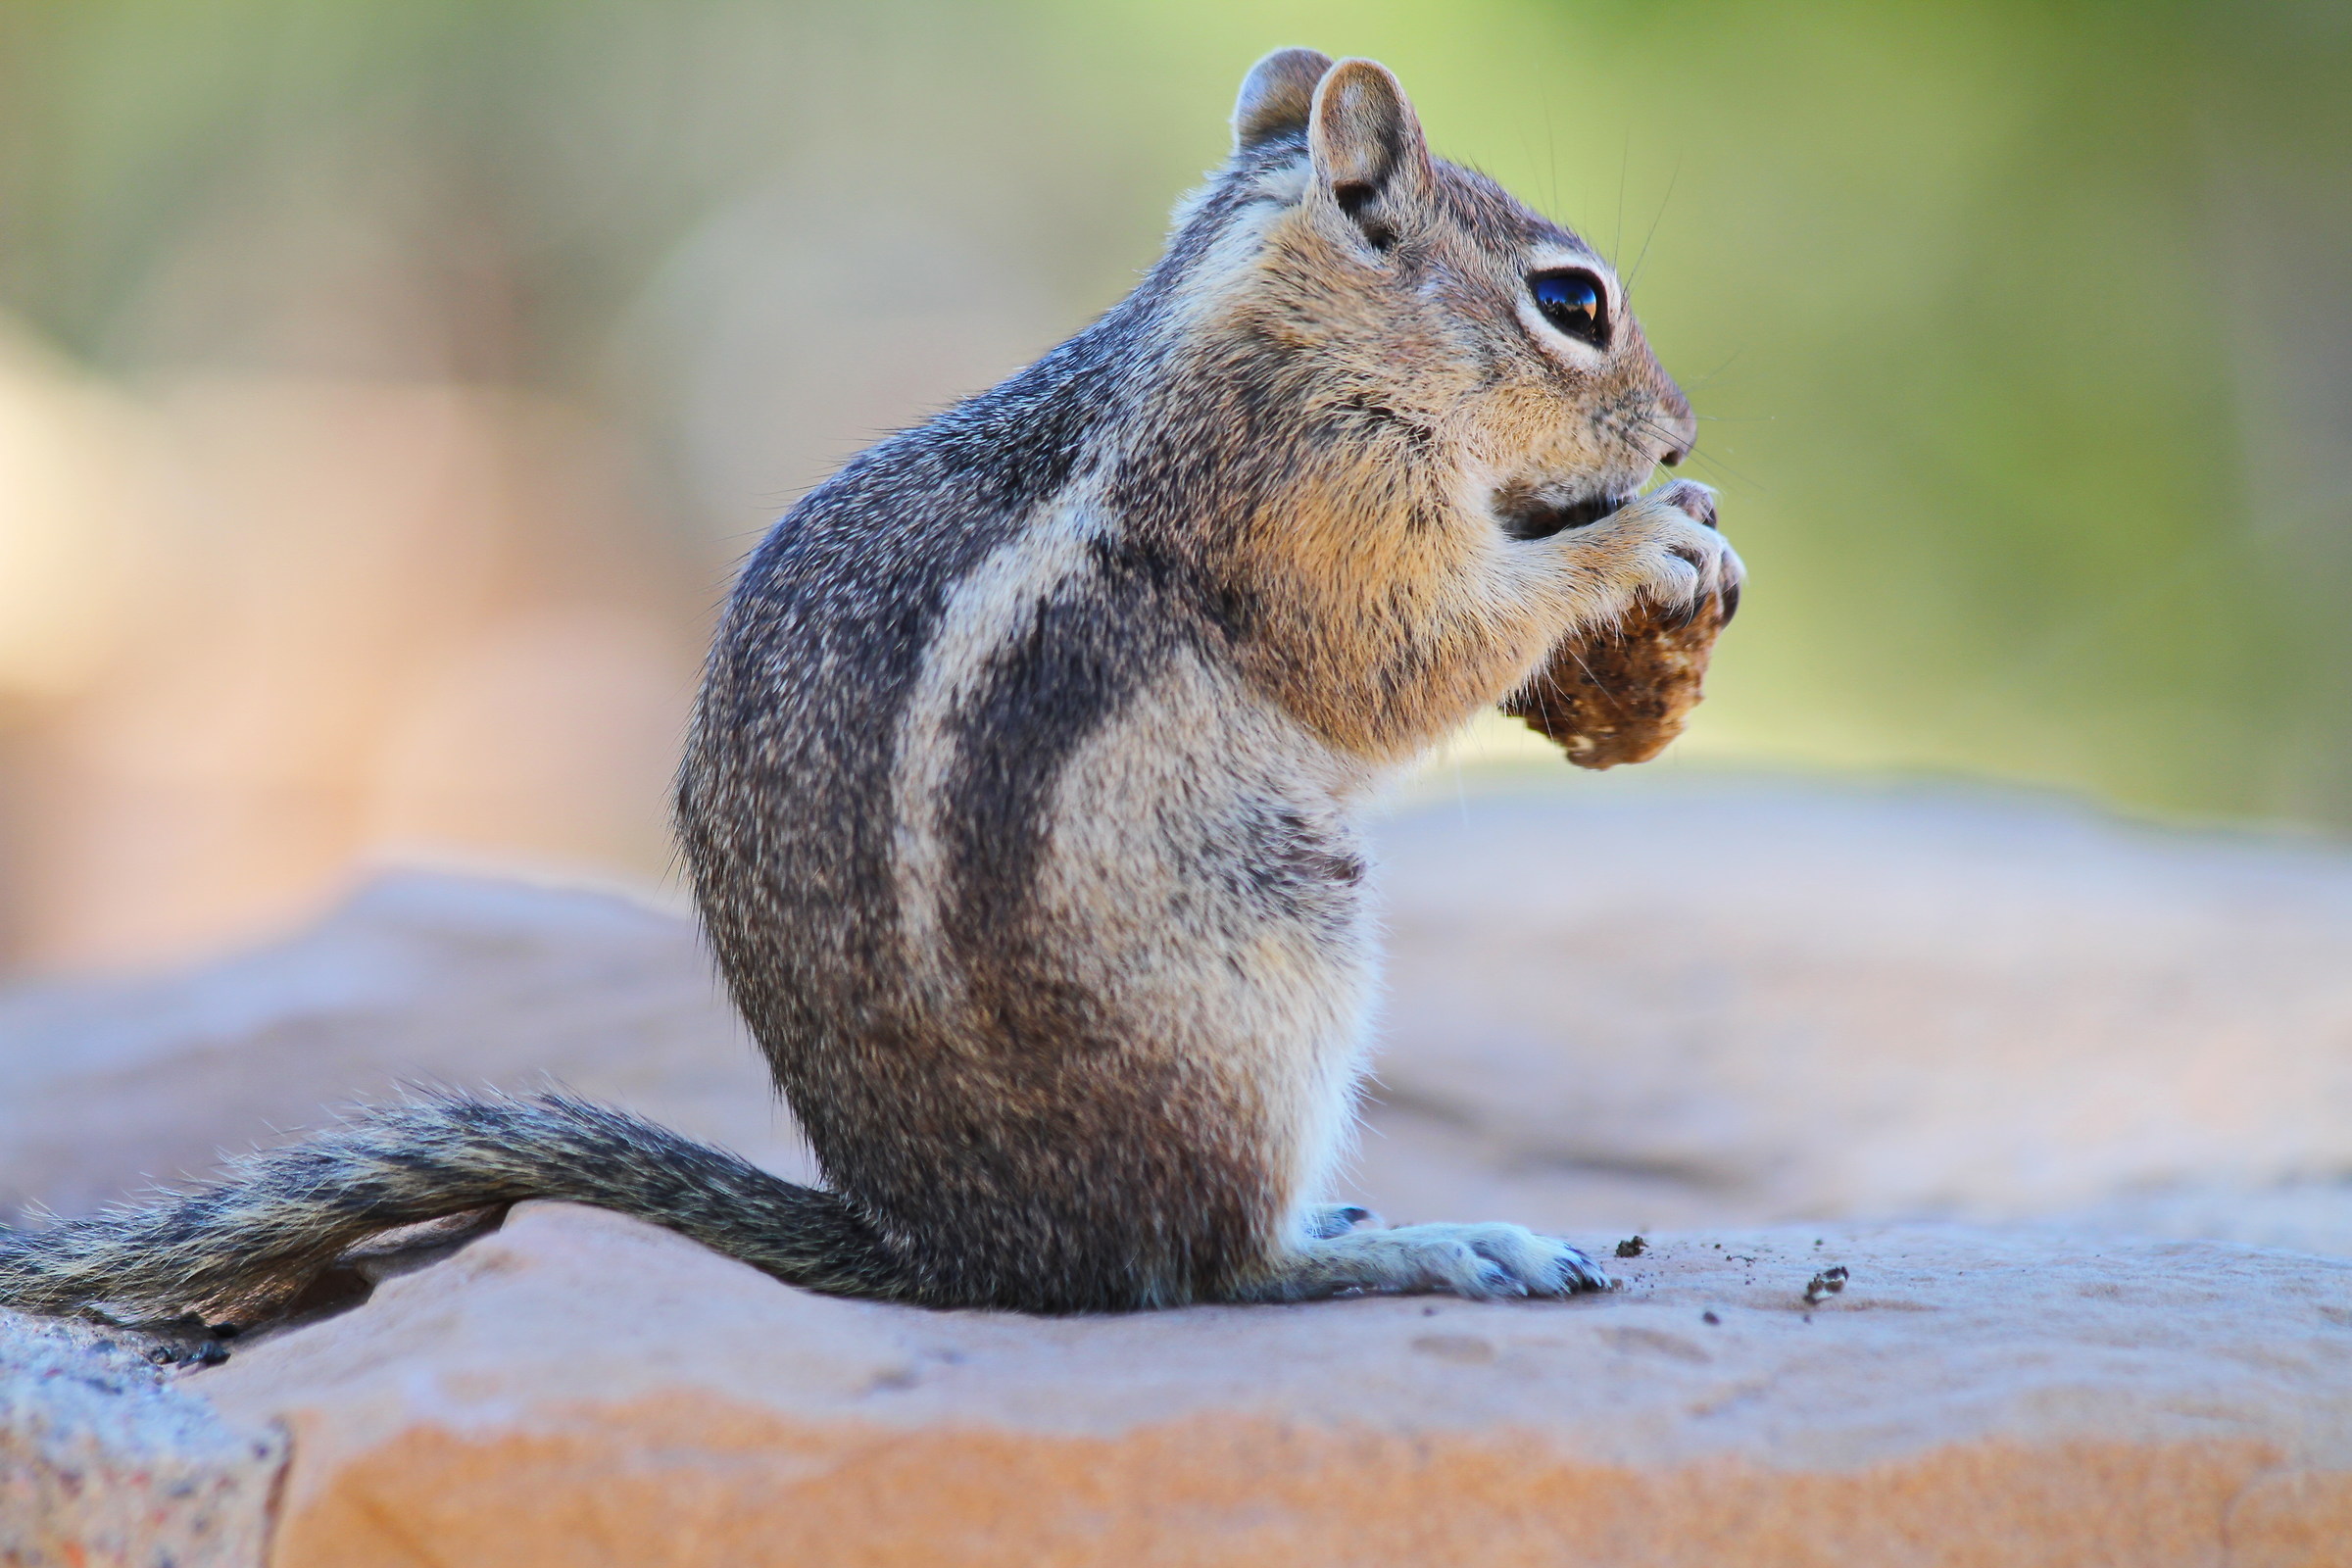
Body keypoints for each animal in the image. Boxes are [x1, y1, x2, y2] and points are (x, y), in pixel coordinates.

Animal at [1, 49, 1738, 1326]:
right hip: (1269, 985)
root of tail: (962, 1256)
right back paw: (1425, 1245)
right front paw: (1642, 539)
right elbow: (1397, 662)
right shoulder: (1314, 506)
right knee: (1202, 1269)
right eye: (1573, 302)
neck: (1275, 331)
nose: (1682, 432)